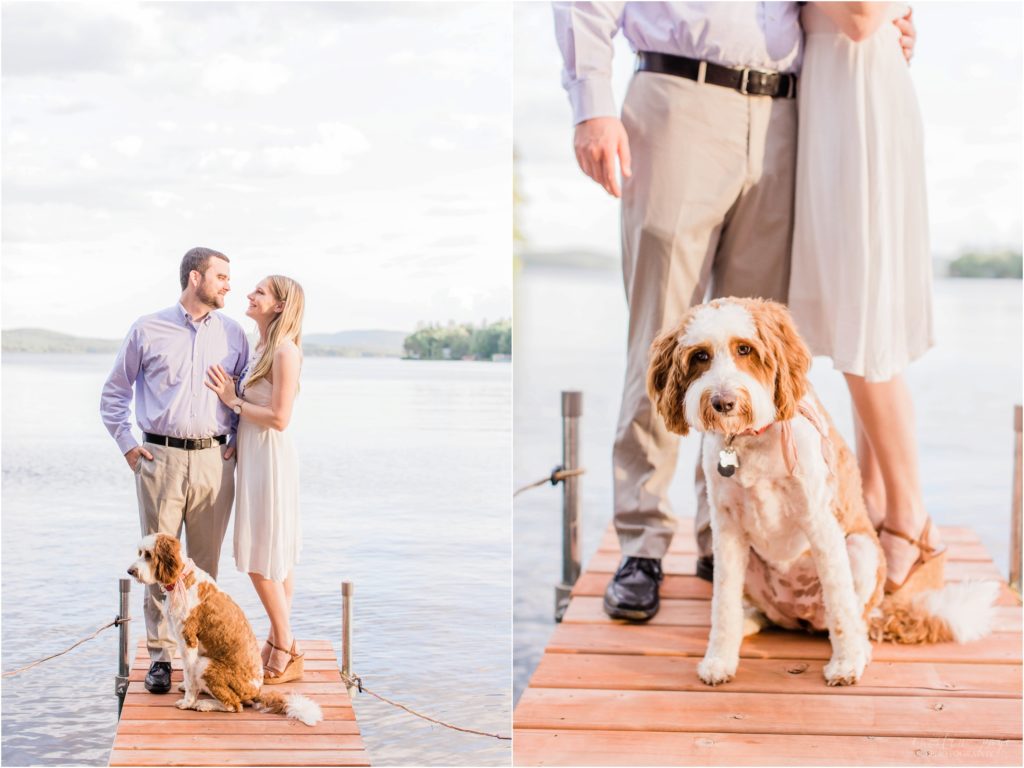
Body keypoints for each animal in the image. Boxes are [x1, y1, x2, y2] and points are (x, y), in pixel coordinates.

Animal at [126, 536, 319, 729]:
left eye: (149, 555)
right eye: (140, 553)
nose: (130, 571)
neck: (183, 577)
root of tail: (256, 691)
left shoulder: (188, 641)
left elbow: (189, 675)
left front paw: (188, 701)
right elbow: (188, 676)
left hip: (205, 665)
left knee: (234, 705)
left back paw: (203, 704)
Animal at [647, 296, 991, 688]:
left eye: (744, 349)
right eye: (700, 356)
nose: (723, 402)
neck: (752, 438)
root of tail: (800, 615)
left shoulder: (820, 520)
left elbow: (840, 602)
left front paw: (846, 663)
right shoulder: (727, 528)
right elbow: (723, 601)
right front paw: (719, 659)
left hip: (861, 551)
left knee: (851, 616)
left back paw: (860, 646)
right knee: (763, 613)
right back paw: (749, 622)